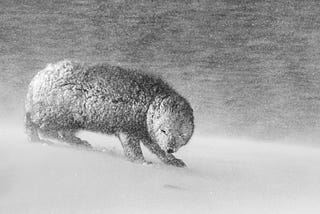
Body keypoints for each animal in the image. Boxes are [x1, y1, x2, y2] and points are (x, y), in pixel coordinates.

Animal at [25, 60, 194, 167]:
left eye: (181, 135)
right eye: (164, 130)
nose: (170, 148)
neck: (148, 104)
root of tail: (37, 77)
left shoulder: (147, 133)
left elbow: (157, 149)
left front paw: (173, 160)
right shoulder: (128, 128)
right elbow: (133, 149)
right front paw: (143, 162)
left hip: (74, 119)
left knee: (61, 133)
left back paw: (79, 142)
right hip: (53, 114)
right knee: (37, 125)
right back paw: (36, 138)